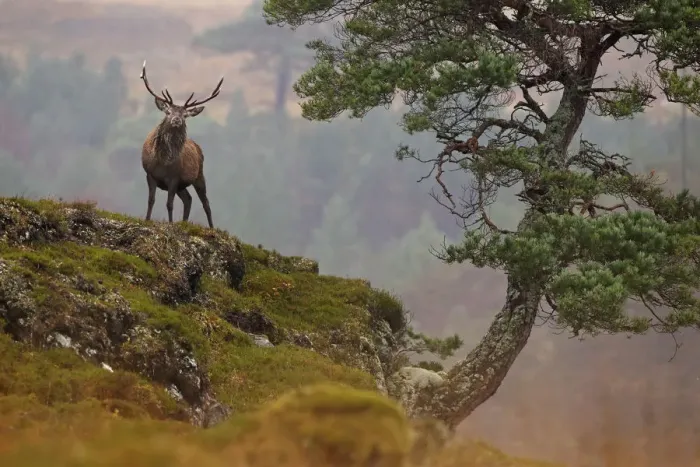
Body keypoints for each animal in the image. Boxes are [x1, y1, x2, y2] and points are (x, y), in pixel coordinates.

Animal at [139, 60, 223, 229]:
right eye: (168, 112)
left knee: (205, 203)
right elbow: (151, 200)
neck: (163, 162)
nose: (176, 120)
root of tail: (198, 147)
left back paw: (212, 227)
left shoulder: (174, 178)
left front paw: (171, 224)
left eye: (185, 115)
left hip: (199, 175)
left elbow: (169, 204)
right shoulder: (149, 174)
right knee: (188, 199)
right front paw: (147, 220)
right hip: (182, 186)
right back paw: (184, 222)